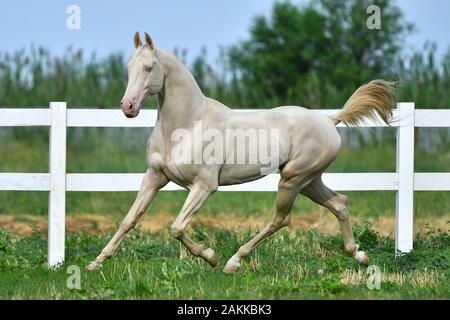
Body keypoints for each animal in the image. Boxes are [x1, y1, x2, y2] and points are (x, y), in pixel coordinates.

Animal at [87, 31, 394, 272]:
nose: (128, 107)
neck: (188, 124)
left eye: (149, 67)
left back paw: (233, 262)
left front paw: (210, 257)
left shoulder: (204, 186)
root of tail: (329, 120)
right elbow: (129, 220)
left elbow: (177, 227)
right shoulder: (154, 177)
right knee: (339, 203)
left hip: (293, 179)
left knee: (282, 219)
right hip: (308, 180)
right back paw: (360, 255)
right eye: (129, 67)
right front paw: (95, 263)